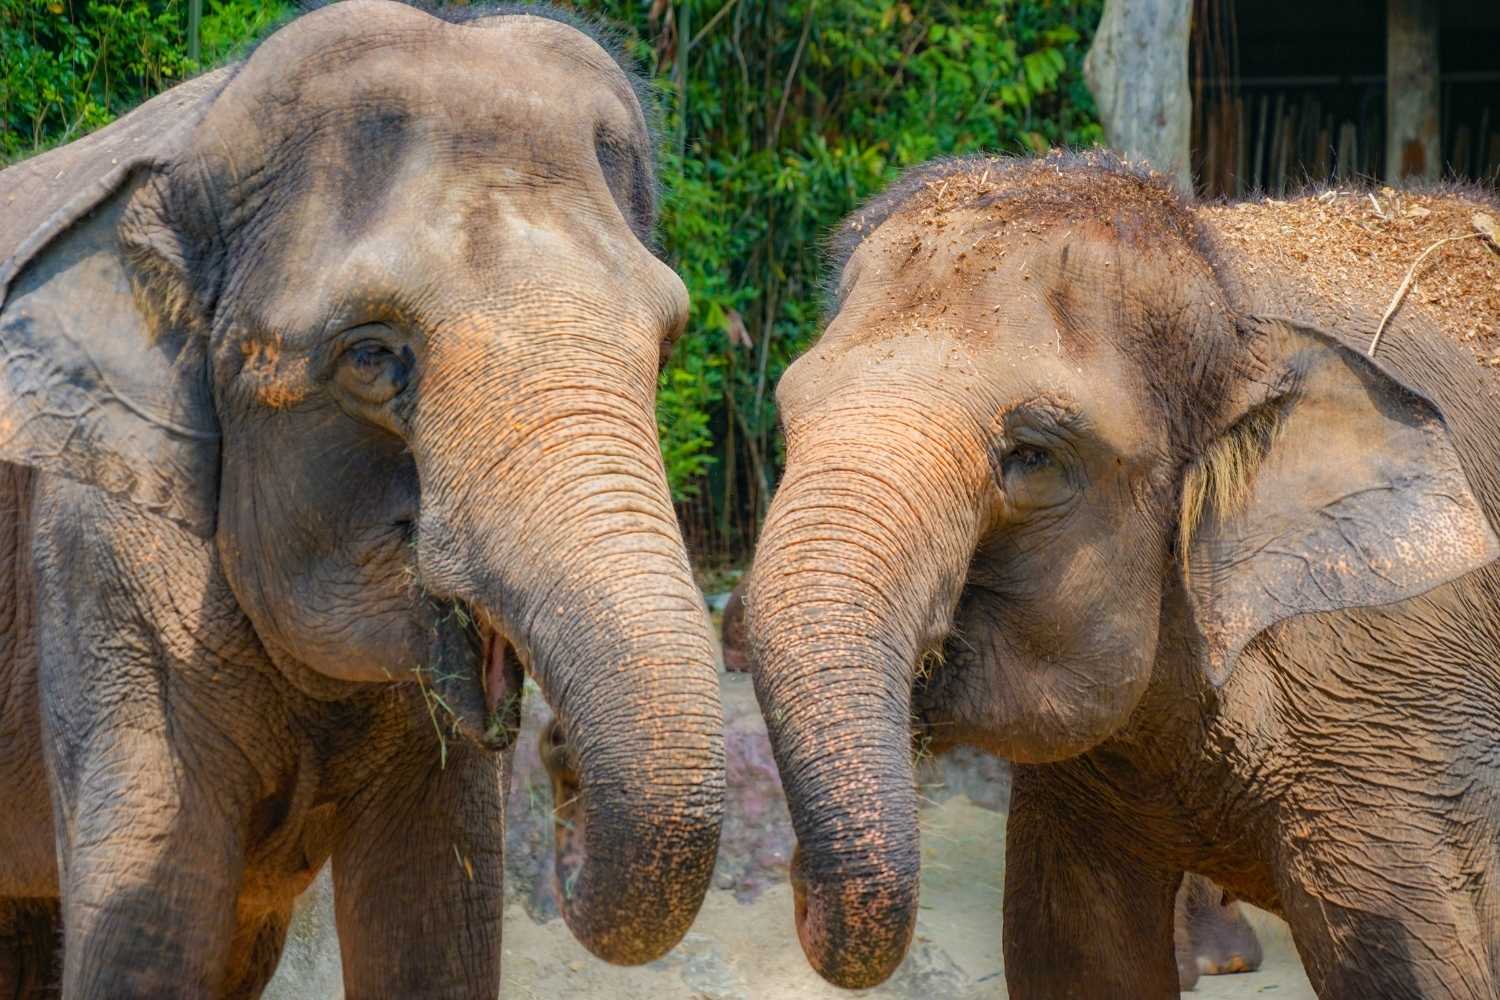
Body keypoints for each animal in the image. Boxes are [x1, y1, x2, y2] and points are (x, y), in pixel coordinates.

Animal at [0, 2, 724, 996]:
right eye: (373, 356)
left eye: (666, 344)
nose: (559, 754)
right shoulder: (98, 558)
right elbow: (147, 936)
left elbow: (435, 919)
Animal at [745, 151, 1500, 997]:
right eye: (788, 420)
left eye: (1032, 455)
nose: (799, 885)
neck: (1229, 288)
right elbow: (1073, 956)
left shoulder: (1396, 709)